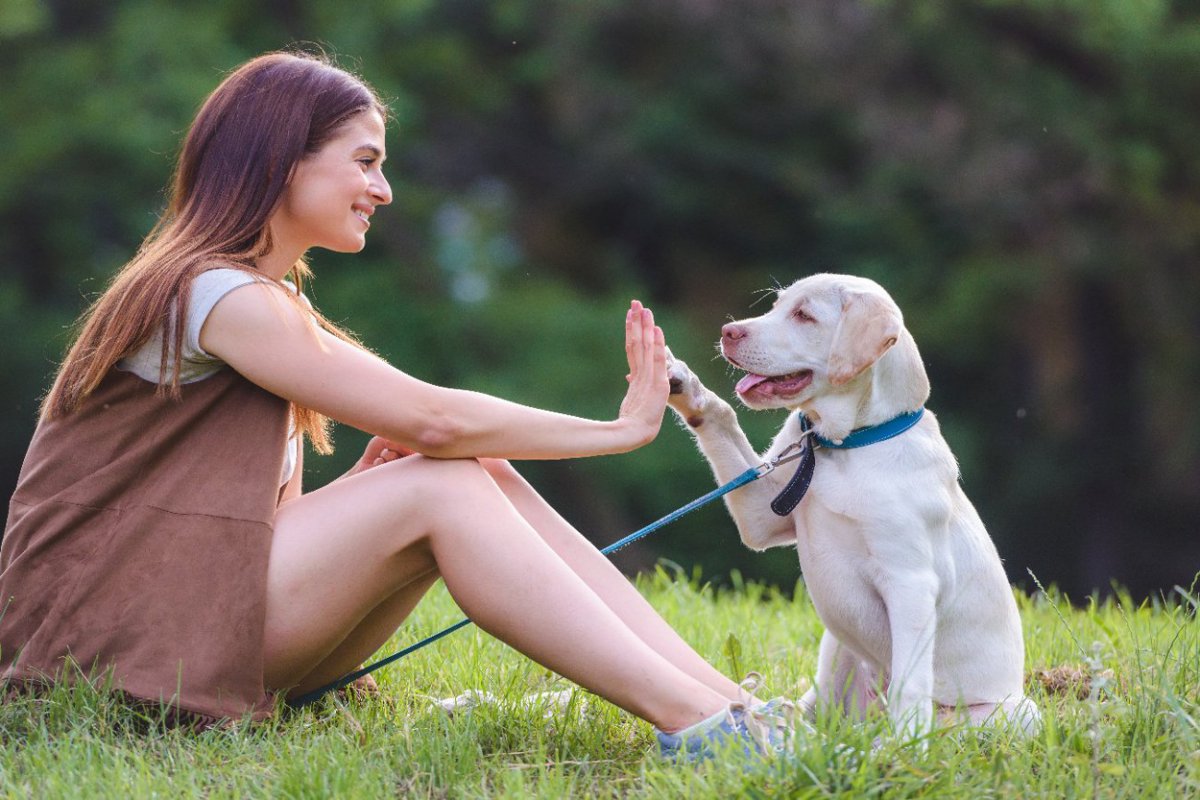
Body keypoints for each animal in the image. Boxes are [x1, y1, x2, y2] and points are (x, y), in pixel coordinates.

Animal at [667, 273, 1041, 738]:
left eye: (804, 315)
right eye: (776, 305)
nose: (728, 331)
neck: (842, 445)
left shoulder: (911, 583)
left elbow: (910, 686)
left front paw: (904, 750)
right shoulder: (760, 514)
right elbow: (723, 419)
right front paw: (685, 386)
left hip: (1015, 713)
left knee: (940, 722)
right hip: (835, 660)